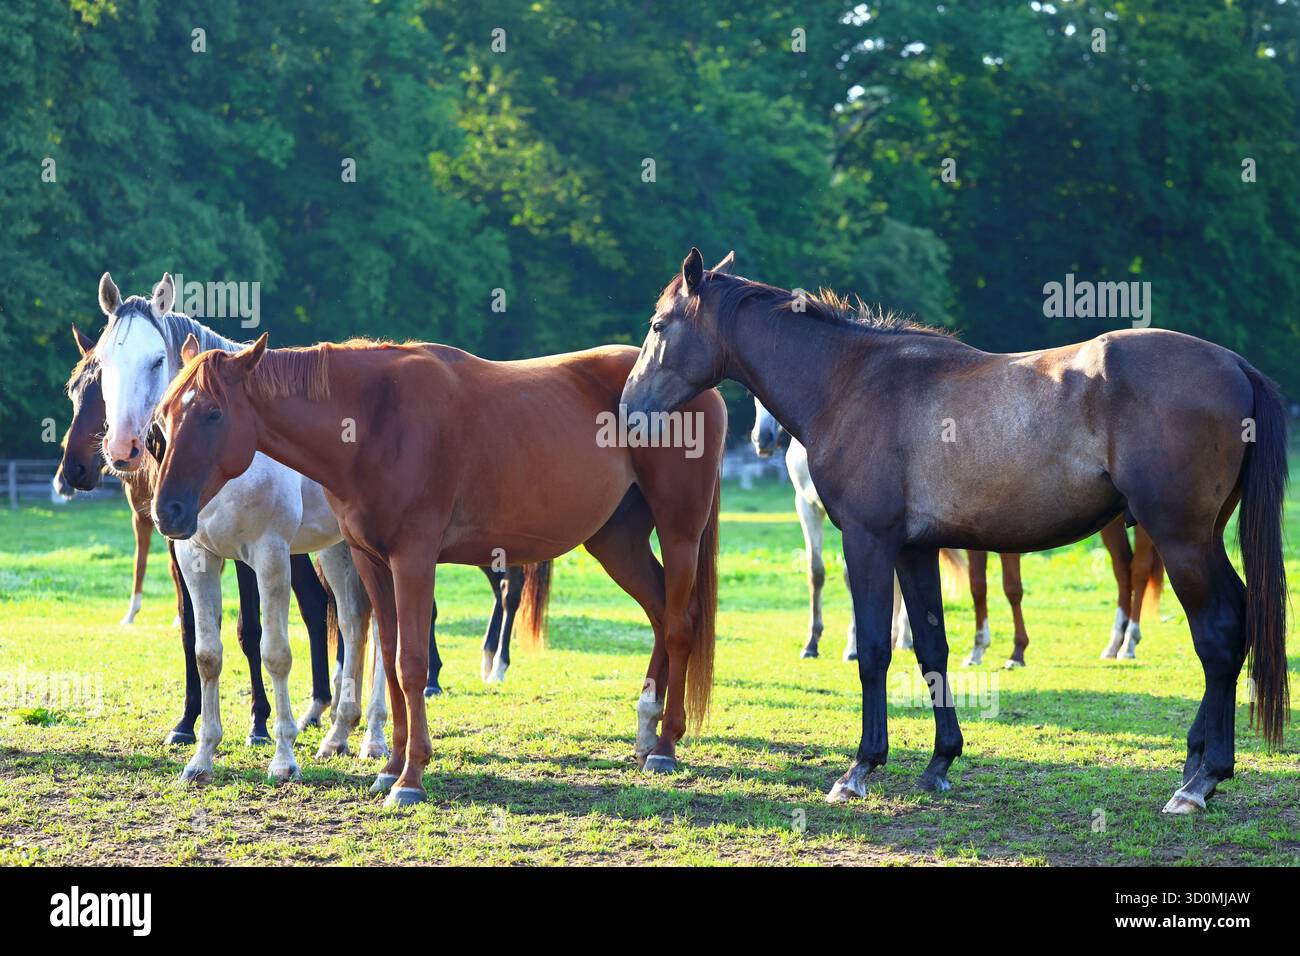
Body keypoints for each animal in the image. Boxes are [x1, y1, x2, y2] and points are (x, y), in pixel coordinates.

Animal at [149, 333, 725, 807]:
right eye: (164, 416)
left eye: (213, 414)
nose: (167, 511)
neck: (375, 419)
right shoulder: (372, 562)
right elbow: (389, 656)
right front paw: (390, 765)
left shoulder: (412, 559)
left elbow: (409, 664)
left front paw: (410, 778)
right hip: (616, 541)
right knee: (659, 612)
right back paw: (646, 731)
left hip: (678, 532)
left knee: (679, 623)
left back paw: (665, 744)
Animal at [622, 248, 1288, 815]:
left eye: (658, 325)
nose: (628, 410)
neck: (849, 381)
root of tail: (1235, 365)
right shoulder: (915, 550)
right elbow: (933, 649)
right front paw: (940, 761)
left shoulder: (868, 541)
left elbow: (874, 651)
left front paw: (861, 768)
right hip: (1201, 538)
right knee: (1234, 623)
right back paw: (1196, 764)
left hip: (1180, 539)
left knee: (1218, 634)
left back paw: (1201, 781)